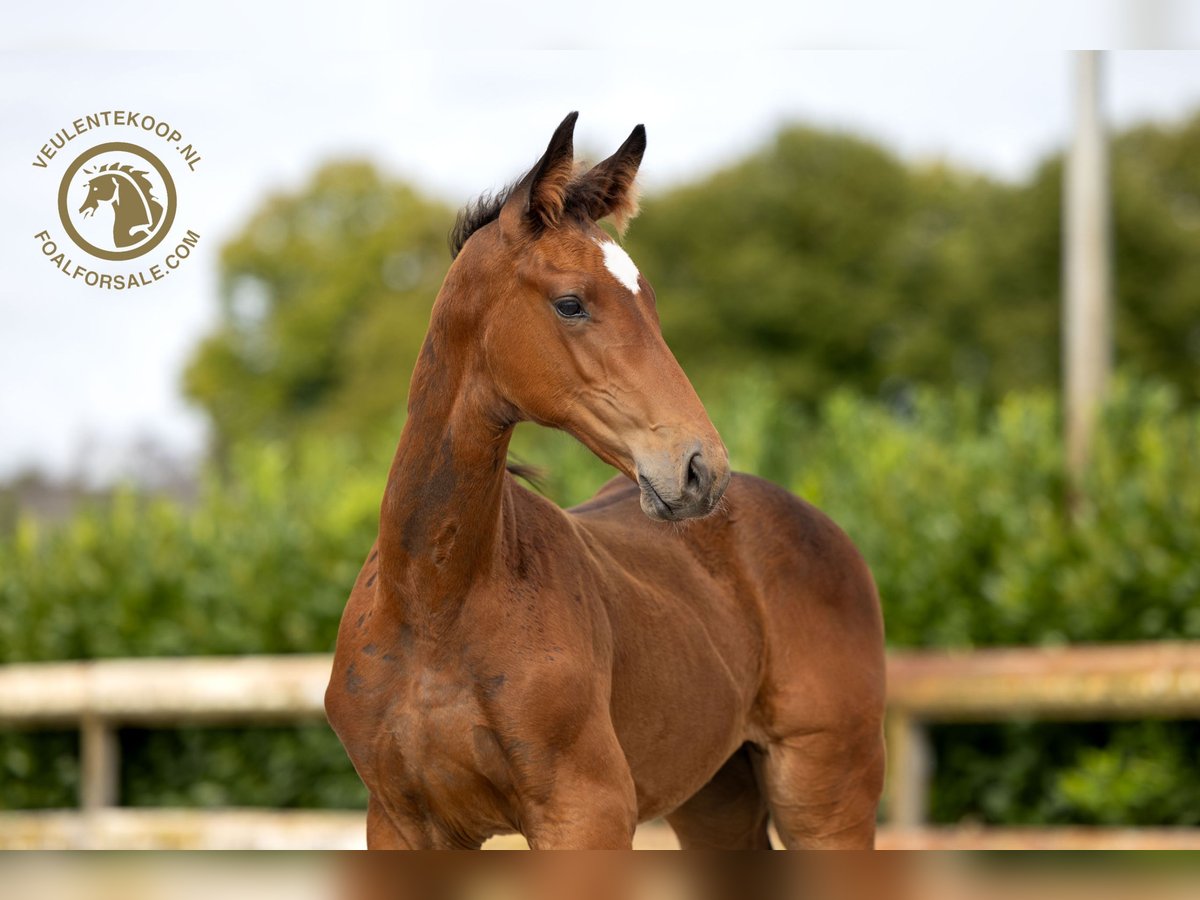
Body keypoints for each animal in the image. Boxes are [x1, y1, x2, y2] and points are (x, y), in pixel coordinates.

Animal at [324, 114, 888, 854]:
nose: (699, 468)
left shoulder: (586, 812)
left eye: (649, 302)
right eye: (570, 303)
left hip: (826, 796)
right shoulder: (400, 823)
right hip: (716, 797)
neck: (433, 604)